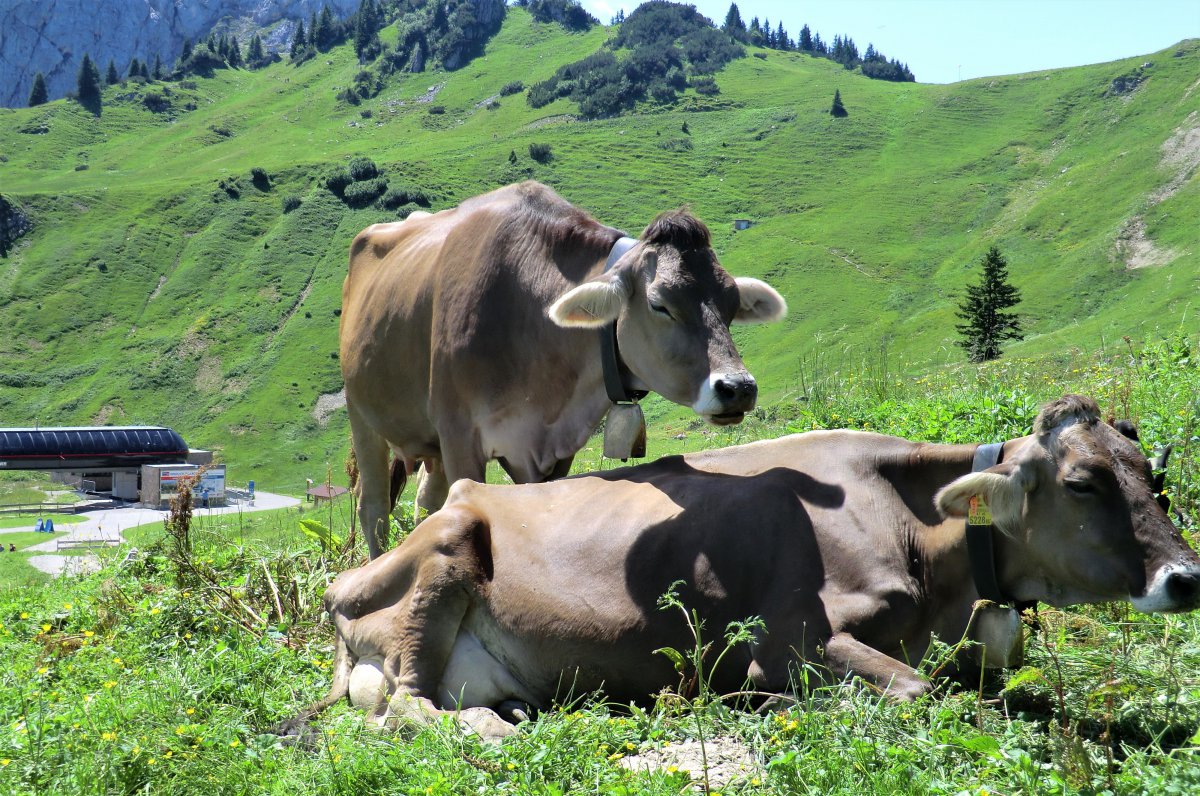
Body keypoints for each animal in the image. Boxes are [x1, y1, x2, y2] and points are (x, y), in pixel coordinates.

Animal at [312, 396, 1200, 729]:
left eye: (1153, 476)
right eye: (1083, 483)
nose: (1185, 577)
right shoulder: (790, 638)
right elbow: (917, 691)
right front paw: (765, 704)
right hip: (445, 552)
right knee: (409, 707)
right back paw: (489, 730)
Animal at [340, 180, 787, 557]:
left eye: (731, 303)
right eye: (660, 304)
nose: (738, 387)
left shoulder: (554, 451)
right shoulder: (458, 436)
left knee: (425, 503)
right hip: (362, 414)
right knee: (373, 509)